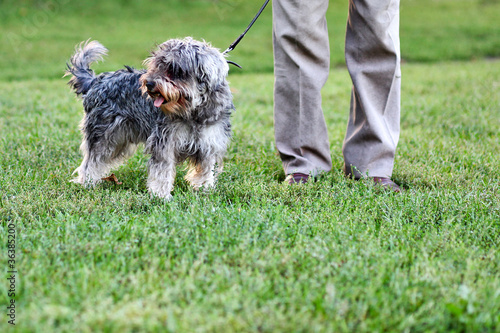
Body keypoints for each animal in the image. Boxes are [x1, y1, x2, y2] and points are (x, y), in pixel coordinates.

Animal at [66, 39, 234, 200]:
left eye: (175, 69)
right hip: (104, 137)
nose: (149, 83)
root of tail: (95, 81)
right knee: (91, 162)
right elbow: (162, 171)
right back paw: (88, 182)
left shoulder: (209, 144)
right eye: (157, 65)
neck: (193, 111)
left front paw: (205, 189)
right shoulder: (165, 143)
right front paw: (161, 195)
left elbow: (206, 170)